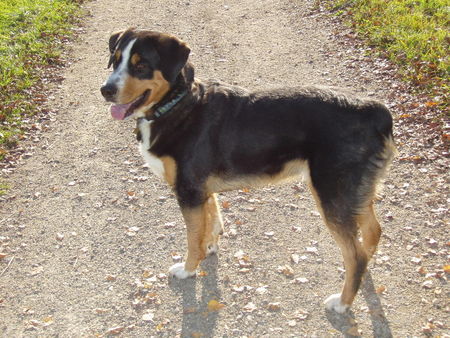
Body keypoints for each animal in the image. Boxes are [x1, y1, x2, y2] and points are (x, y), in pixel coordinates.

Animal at [101, 27, 394, 312]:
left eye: (141, 65)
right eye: (115, 60)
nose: (106, 90)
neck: (179, 105)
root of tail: (375, 111)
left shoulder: (189, 191)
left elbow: (193, 239)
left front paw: (188, 269)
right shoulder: (202, 191)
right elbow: (212, 221)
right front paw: (210, 247)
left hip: (332, 195)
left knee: (355, 255)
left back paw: (342, 303)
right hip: (357, 194)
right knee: (371, 234)